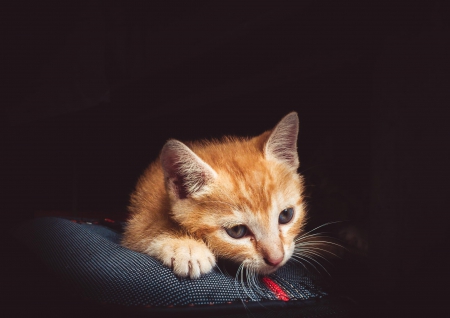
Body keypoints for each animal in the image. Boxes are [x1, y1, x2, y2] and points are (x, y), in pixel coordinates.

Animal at [122, 112, 306, 278]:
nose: (276, 259)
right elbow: (145, 230)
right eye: (237, 231)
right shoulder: (141, 217)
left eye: (286, 215)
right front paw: (186, 247)